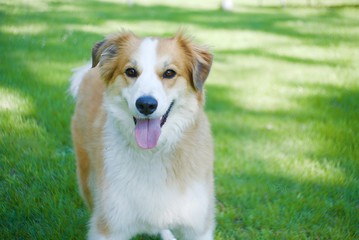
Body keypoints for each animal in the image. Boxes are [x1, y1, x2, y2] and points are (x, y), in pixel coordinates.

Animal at [71, 31, 215, 240]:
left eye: (169, 73)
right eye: (131, 71)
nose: (146, 105)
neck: (153, 152)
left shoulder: (198, 227)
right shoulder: (109, 226)